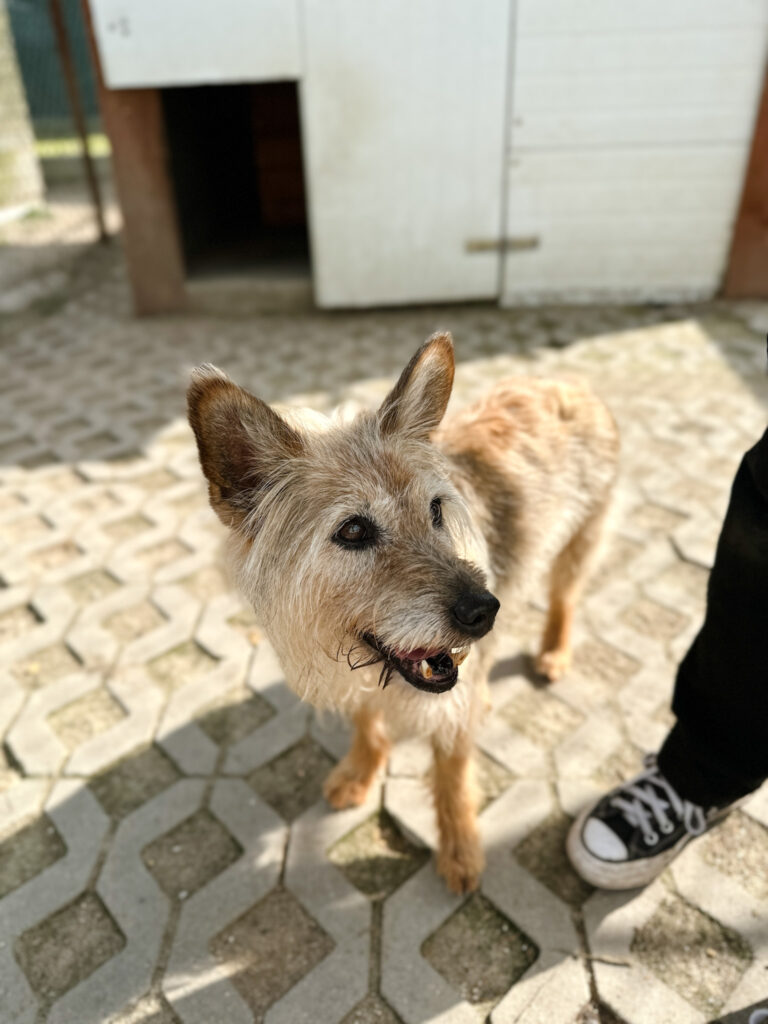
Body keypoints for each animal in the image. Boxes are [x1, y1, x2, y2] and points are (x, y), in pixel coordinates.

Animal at [187, 332, 619, 893]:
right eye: (352, 530)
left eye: (436, 509)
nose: (484, 612)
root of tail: (563, 380)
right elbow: (368, 722)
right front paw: (361, 769)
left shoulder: (450, 706)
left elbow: (453, 776)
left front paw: (460, 849)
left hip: (579, 540)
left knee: (564, 598)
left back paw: (553, 653)